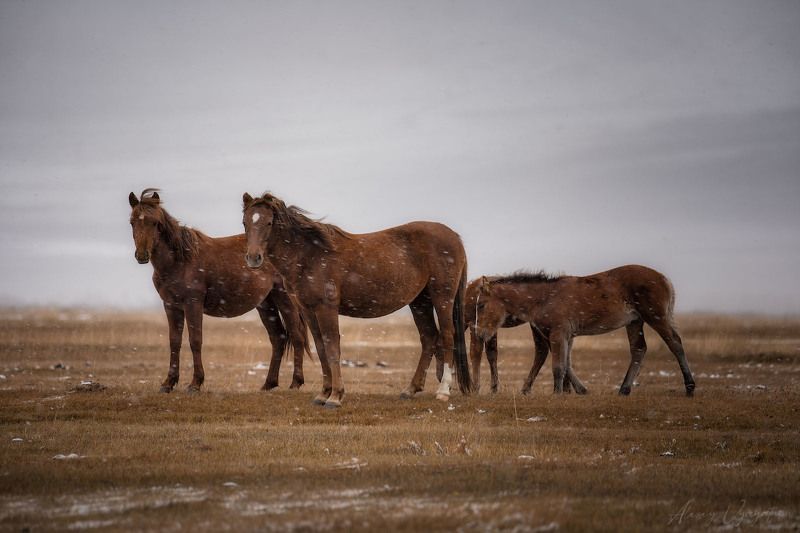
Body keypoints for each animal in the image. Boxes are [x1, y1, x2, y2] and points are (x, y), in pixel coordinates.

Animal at [128, 189, 309, 393]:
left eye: (155, 223)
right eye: (132, 221)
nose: (142, 255)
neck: (179, 261)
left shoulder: (193, 303)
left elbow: (195, 340)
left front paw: (195, 383)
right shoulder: (171, 305)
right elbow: (174, 341)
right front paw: (168, 383)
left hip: (285, 299)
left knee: (296, 336)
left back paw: (295, 382)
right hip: (266, 304)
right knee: (278, 338)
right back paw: (268, 384)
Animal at [241, 192, 472, 408]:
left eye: (269, 222)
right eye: (245, 222)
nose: (253, 258)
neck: (310, 255)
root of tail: (454, 237)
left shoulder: (326, 308)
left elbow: (332, 347)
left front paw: (335, 396)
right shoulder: (308, 310)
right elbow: (321, 348)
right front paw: (323, 394)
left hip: (442, 296)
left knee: (447, 336)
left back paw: (443, 391)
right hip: (420, 302)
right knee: (429, 338)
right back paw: (410, 389)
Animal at [472, 265, 695, 396]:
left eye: (481, 305)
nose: (480, 333)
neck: (543, 297)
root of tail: (664, 279)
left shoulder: (559, 333)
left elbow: (558, 366)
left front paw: (557, 393)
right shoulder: (566, 336)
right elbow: (566, 363)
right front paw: (573, 390)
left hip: (656, 317)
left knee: (675, 343)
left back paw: (690, 387)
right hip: (635, 322)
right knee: (639, 349)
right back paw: (624, 389)